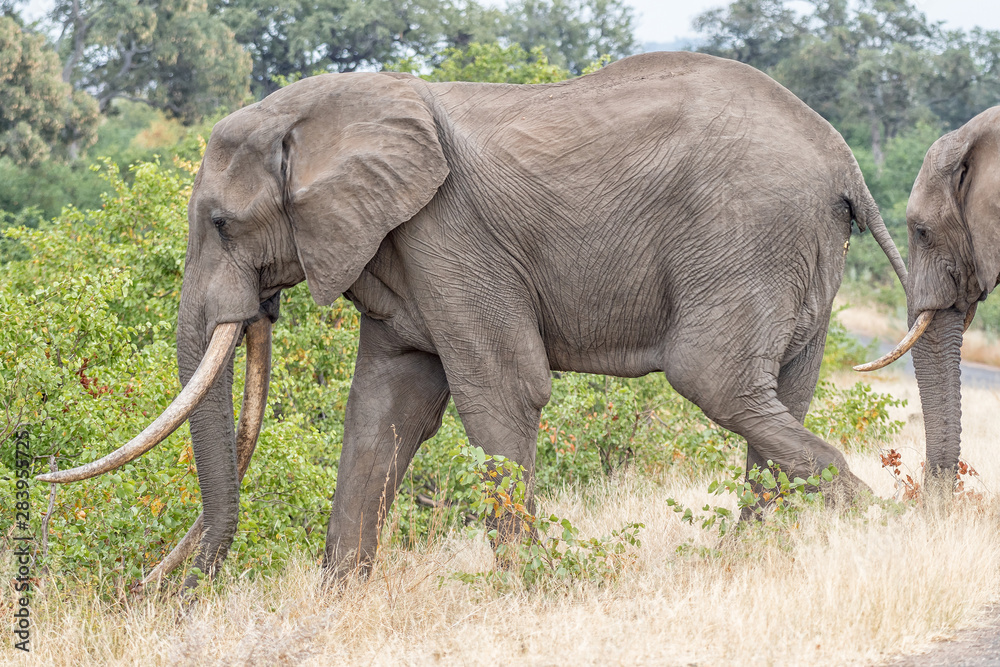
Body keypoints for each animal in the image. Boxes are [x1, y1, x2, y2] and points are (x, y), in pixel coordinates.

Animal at [39, 51, 907, 588]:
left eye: (220, 223)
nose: (154, 586)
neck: (334, 111)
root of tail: (845, 162)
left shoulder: (449, 232)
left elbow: (502, 389)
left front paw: (525, 590)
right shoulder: (397, 247)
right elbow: (383, 409)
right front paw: (338, 602)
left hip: (746, 234)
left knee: (716, 380)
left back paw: (881, 524)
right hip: (794, 247)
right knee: (778, 394)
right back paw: (759, 553)